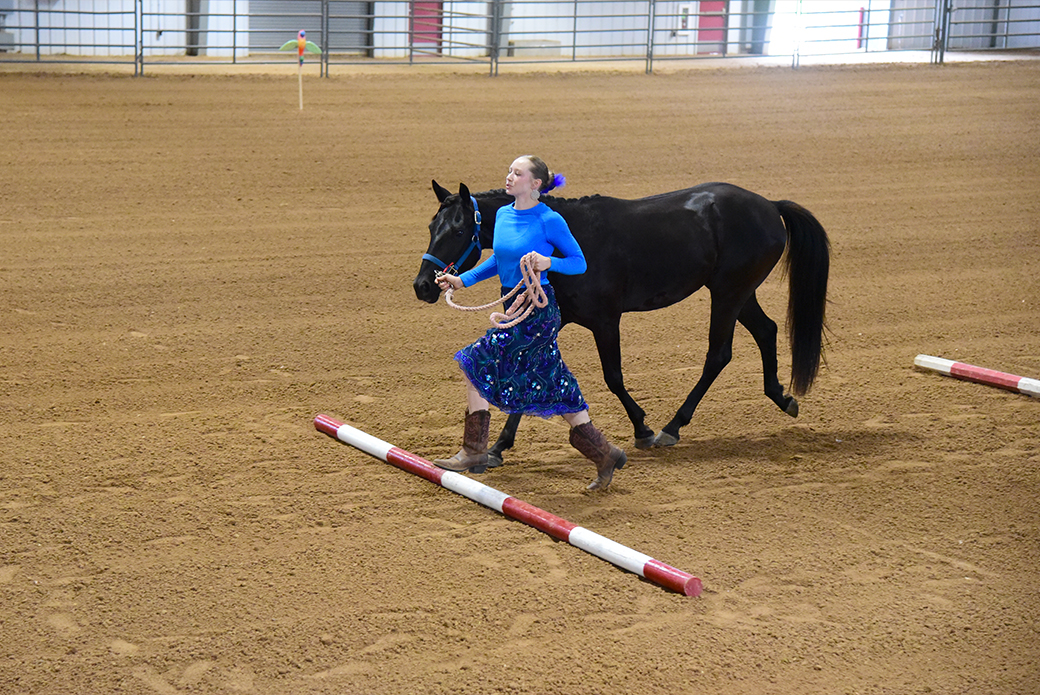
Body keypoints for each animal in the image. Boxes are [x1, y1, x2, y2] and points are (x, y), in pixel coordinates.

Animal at [413, 181, 827, 466]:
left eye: (457, 230)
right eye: (432, 225)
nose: (423, 286)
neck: (568, 242)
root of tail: (770, 206)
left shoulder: (605, 321)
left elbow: (613, 377)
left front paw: (643, 429)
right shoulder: (555, 320)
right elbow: (528, 374)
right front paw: (499, 446)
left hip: (728, 292)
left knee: (718, 355)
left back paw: (672, 427)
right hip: (739, 293)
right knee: (767, 331)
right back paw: (782, 397)